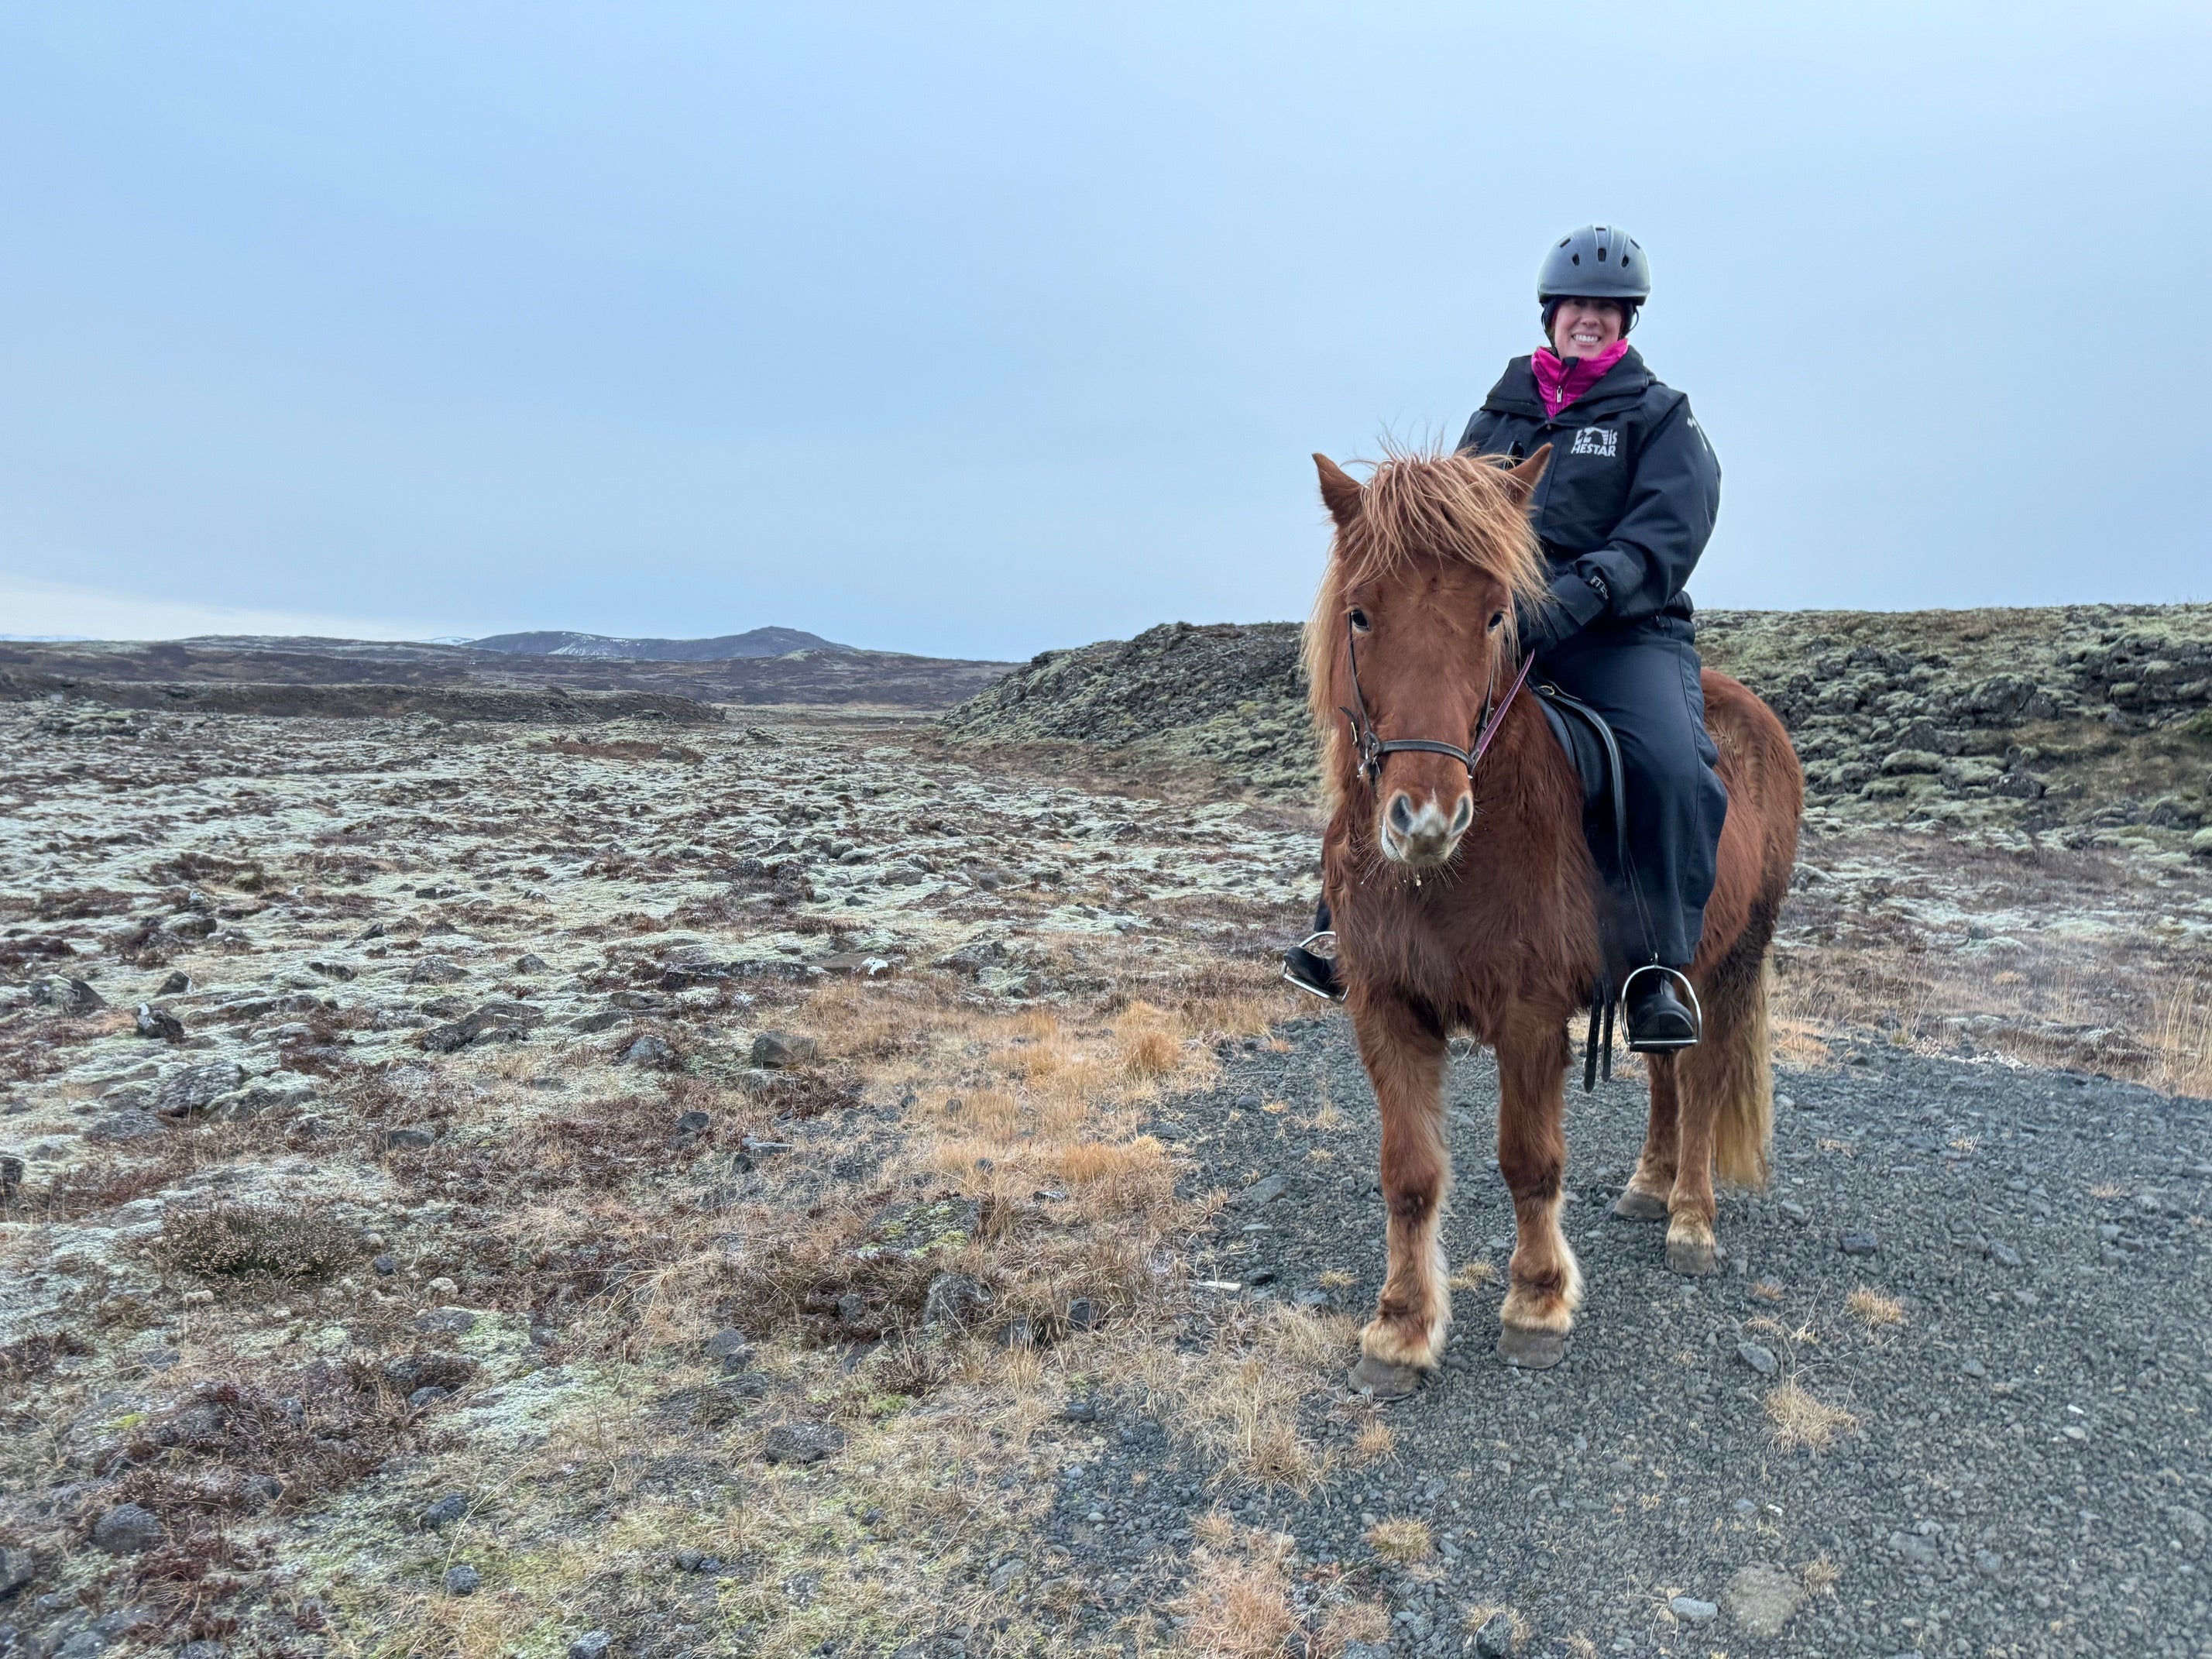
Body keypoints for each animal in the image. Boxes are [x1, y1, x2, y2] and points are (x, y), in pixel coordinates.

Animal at [1304, 445, 1803, 1396]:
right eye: (1360, 614)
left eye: (1498, 615)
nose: (1426, 819)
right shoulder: (1384, 1006)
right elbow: (1407, 1173)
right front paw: (1400, 1328)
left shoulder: (1529, 1015)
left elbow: (1529, 1162)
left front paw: (1536, 1304)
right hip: (1659, 976)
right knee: (1668, 1072)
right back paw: (1648, 1186)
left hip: (1726, 961)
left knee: (1705, 1080)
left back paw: (1691, 1217)